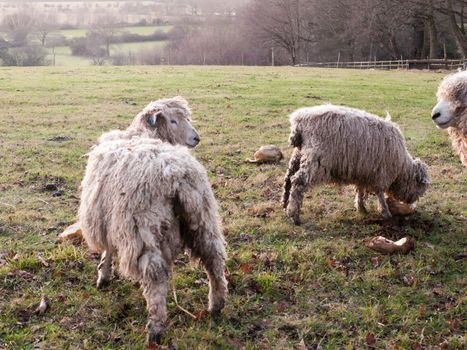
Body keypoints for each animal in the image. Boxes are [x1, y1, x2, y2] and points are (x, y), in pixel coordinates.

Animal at [79, 97, 229, 344]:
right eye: (173, 120)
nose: (196, 138)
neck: (139, 134)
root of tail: (177, 175)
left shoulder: (109, 219)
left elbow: (108, 250)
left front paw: (103, 276)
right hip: (203, 218)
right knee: (214, 258)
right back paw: (216, 305)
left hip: (143, 229)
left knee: (155, 276)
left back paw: (155, 329)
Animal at [282, 104, 432, 226]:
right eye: (419, 186)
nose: (413, 202)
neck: (401, 168)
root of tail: (299, 120)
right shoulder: (381, 175)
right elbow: (380, 195)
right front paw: (385, 212)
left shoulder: (363, 173)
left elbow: (359, 190)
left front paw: (361, 208)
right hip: (316, 160)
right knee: (298, 182)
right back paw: (294, 215)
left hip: (299, 154)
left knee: (288, 178)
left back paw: (284, 204)